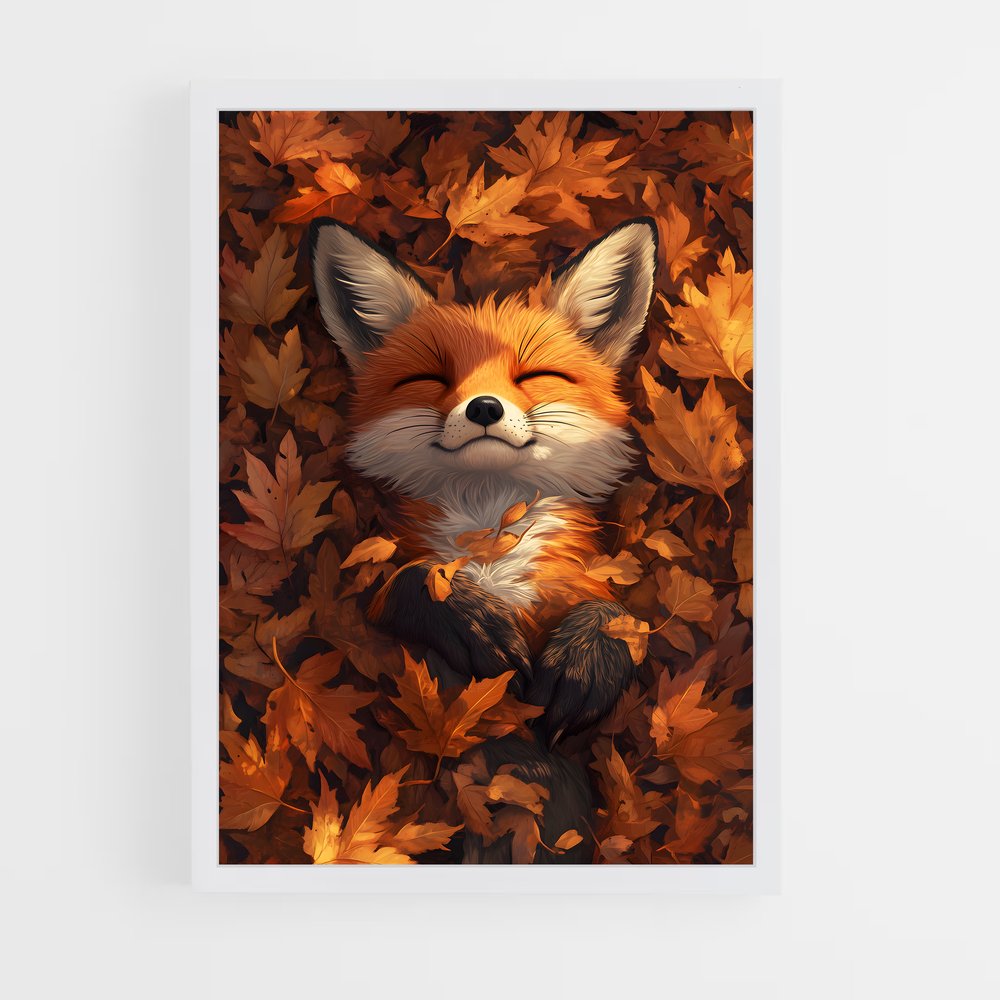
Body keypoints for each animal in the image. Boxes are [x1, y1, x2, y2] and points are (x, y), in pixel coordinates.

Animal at [308, 216, 657, 861]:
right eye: (430, 378)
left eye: (535, 375)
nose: (485, 407)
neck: (493, 535)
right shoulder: (356, 619)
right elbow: (405, 583)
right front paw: (471, 623)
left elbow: (616, 610)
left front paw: (582, 663)